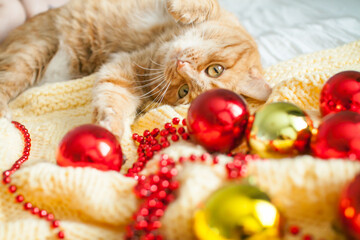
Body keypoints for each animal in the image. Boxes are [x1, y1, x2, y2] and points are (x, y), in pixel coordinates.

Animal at [0, 0, 270, 140]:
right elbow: (205, 5)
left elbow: (114, 99)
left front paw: (111, 127)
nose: (181, 65)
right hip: (30, 54)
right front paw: (182, 8)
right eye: (215, 70)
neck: (165, 38)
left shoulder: (125, 69)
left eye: (183, 91)